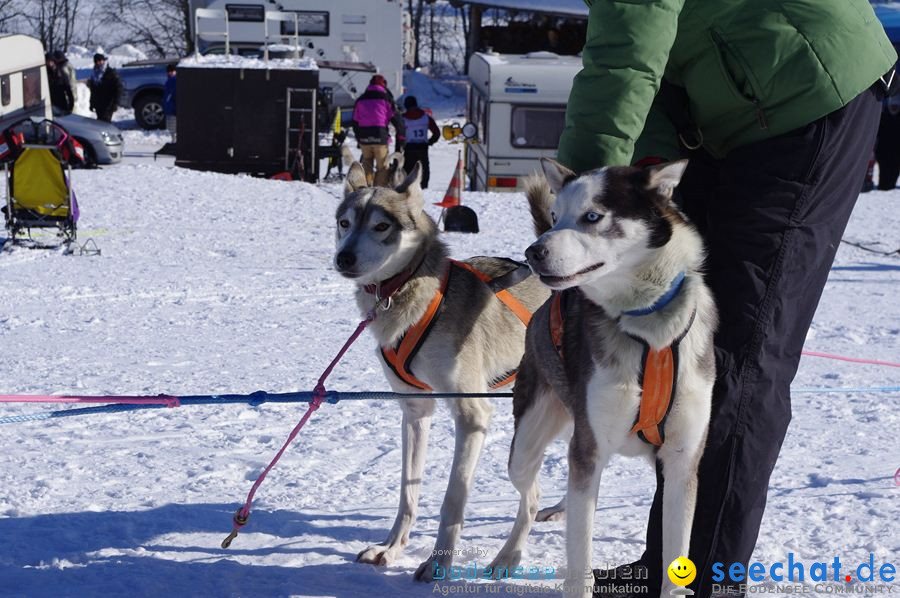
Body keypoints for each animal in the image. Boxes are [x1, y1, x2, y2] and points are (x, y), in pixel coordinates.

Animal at [336, 159, 552, 580]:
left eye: (382, 225)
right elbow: (408, 492)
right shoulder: (415, 411)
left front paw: (438, 563)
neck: (406, 292)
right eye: (345, 222)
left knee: (533, 495)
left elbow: (453, 500)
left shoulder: (472, 414)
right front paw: (391, 548)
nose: (344, 258)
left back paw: (508, 557)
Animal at [492, 159, 716, 598]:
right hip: (526, 447)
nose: (533, 252)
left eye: (592, 217)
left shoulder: (682, 462)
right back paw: (510, 553)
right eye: (556, 217)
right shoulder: (589, 448)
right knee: (531, 496)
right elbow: (580, 559)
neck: (651, 334)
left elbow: (674, 562)